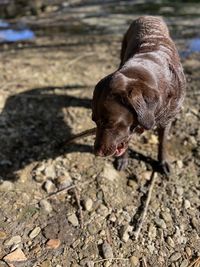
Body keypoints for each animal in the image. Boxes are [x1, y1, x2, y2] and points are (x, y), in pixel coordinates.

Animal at [92, 16, 186, 176]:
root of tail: (148, 16)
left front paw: (163, 162)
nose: (97, 153)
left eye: (110, 123)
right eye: (94, 120)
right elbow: (125, 140)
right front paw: (123, 159)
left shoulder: (167, 120)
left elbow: (163, 143)